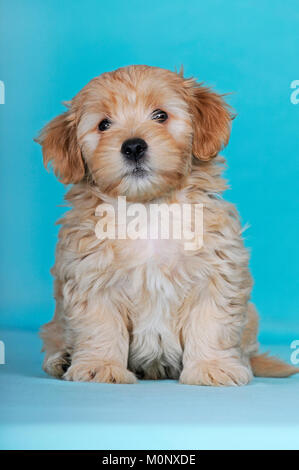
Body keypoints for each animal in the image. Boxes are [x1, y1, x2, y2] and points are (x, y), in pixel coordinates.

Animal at [35, 64, 299, 384]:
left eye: (161, 115)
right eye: (103, 125)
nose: (133, 147)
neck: (148, 209)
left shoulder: (215, 272)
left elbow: (211, 323)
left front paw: (212, 366)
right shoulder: (92, 277)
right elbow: (100, 326)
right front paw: (102, 366)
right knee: (54, 336)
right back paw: (62, 358)